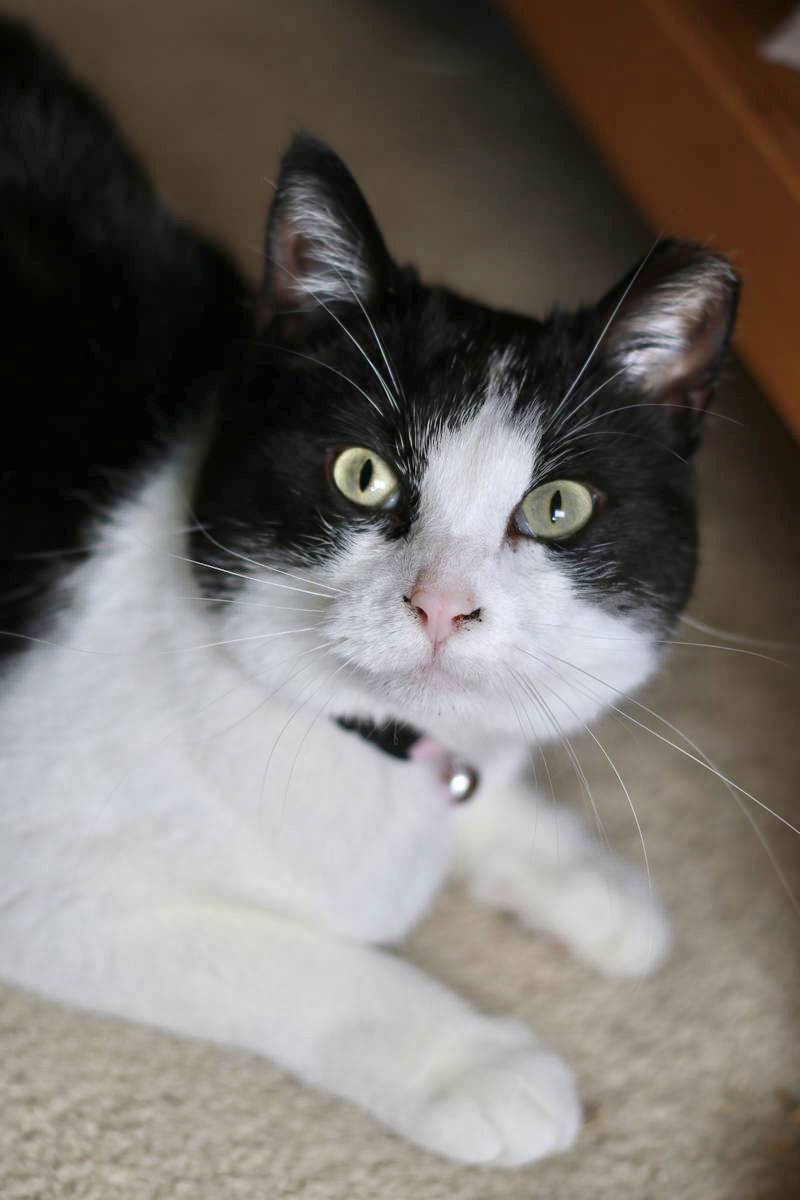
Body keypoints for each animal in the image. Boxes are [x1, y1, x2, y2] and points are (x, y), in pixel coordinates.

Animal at [0, 16, 738, 1161]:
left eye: (556, 506)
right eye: (363, 474)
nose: (440, 604)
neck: (368, 744)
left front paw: (586, 882)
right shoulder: (39, 877)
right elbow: (290, 958)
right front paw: (475, 1061)